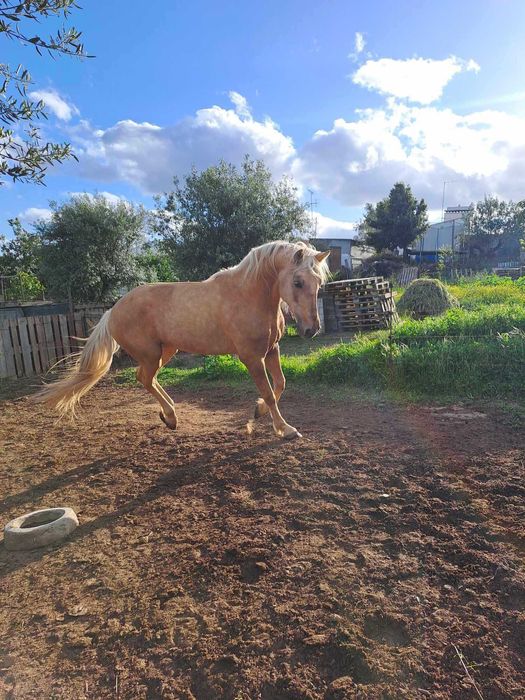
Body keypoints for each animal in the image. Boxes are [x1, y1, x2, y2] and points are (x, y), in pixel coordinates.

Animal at [35, 240, 330, 439]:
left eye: (319, 283)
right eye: (298, 282)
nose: (311, 330)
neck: (248, 295)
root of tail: (112, 311)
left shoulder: (271, 350)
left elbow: (280, 384)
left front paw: (257, 413)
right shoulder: (251, 357)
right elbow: (269, 392)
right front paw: (285, 429)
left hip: (166, 351)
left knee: (147, 378)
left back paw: (170, 415)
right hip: (151, 354)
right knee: (144, 378)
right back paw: (171, 416)